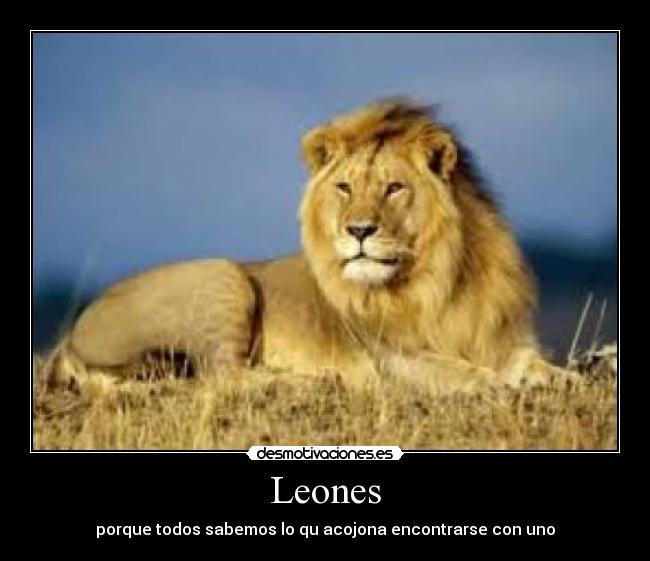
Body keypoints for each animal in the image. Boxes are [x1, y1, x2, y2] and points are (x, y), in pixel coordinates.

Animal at [46, 99, 563, 395]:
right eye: (345, 188)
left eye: (395, 188)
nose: (359, 230)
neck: (443, 276)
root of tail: (71, 335)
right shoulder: (392, 359)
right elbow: (467, 375)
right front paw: (503, 386)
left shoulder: (505, 338)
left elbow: (535, 364)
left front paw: (560, 379)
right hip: (223, 275)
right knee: (221, 377)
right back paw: (312, 381)